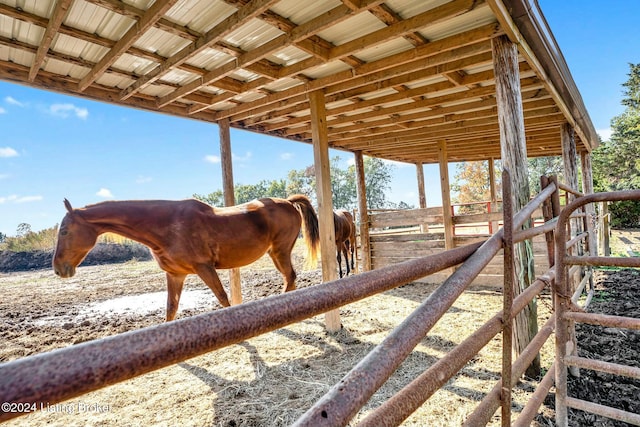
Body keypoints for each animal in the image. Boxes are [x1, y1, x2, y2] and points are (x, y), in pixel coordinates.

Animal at [53, 196, 320, 320]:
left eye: (64, 231)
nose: (58, 269)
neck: (166, 227)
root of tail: (288, 202)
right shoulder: (175, 275)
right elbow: (171, 309)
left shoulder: (204, 268)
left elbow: (223, 299)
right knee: (290, 279)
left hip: (279, 252)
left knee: (290, 278)